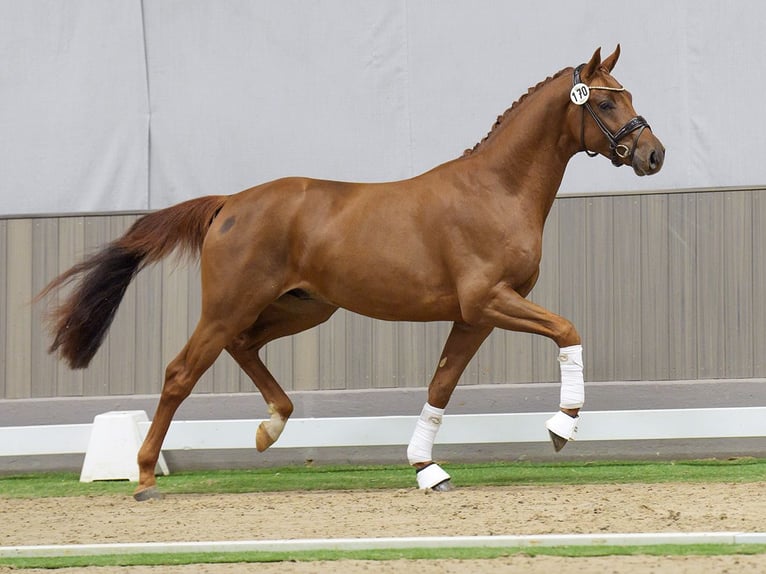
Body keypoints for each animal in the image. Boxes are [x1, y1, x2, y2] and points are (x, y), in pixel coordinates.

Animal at [40, 47, 664, 502]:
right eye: (606, 103)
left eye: (629, 95)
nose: (653, 154)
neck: (495, 190)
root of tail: (228, 204)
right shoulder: (490, 300)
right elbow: (568, 330)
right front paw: (562, 427)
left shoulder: (475, 316)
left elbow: (441, 385)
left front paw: (427, 469)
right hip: (228, 307)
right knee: (179, 373)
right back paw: (145, 476)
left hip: (303, 307)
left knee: (244, 347)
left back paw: (271, 427)